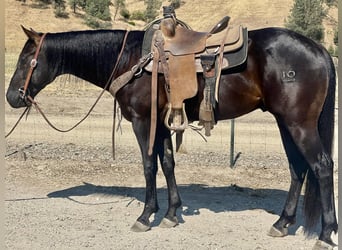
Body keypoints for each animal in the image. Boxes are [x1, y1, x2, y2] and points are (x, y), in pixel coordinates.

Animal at [6, 24, 338, 248]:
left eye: (26, 60)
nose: (11, 97)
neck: (130, 60)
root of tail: (319, 49)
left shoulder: (144, 122)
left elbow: (148, 165)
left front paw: (145, 216)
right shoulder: (164, 124)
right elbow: (167, 163)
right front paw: (171, 213)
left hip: (299, 124)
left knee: (321, 167)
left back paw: (325, 234)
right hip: (284, 123)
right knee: (297, 169)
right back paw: (282, 223)